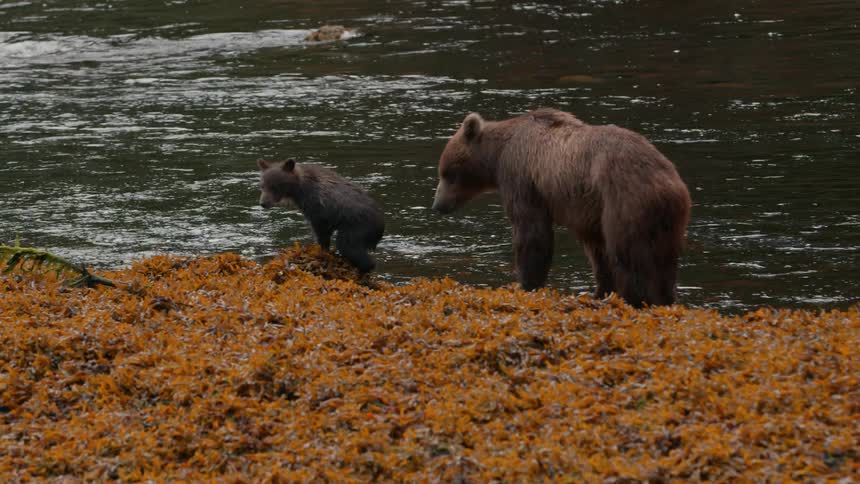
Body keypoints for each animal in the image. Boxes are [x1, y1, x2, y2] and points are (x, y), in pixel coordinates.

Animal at [432, 108, 691, 308]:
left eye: (446, 173)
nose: (437, 205)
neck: (497, 156)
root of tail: (669, 184)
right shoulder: (589, 211)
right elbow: (596, 249)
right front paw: (600, 289)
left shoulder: (521, 176)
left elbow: (531, 231)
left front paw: (526, 282)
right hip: (666, 218)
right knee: (662, 259)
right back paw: (663, 297)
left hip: (625, 200)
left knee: (628, 252)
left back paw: (636, 298)